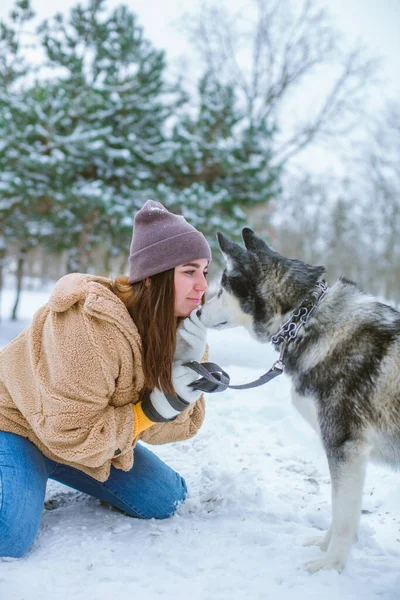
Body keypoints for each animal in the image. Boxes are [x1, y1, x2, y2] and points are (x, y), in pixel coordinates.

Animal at [200, 229, 400, 572]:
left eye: (222, 290)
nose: (196, 312)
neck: (305, 317)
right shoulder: (348, 455)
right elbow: (339, 512)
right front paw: (324, 549)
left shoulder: (345, 448)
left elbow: (344, 518)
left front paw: (330, 566)